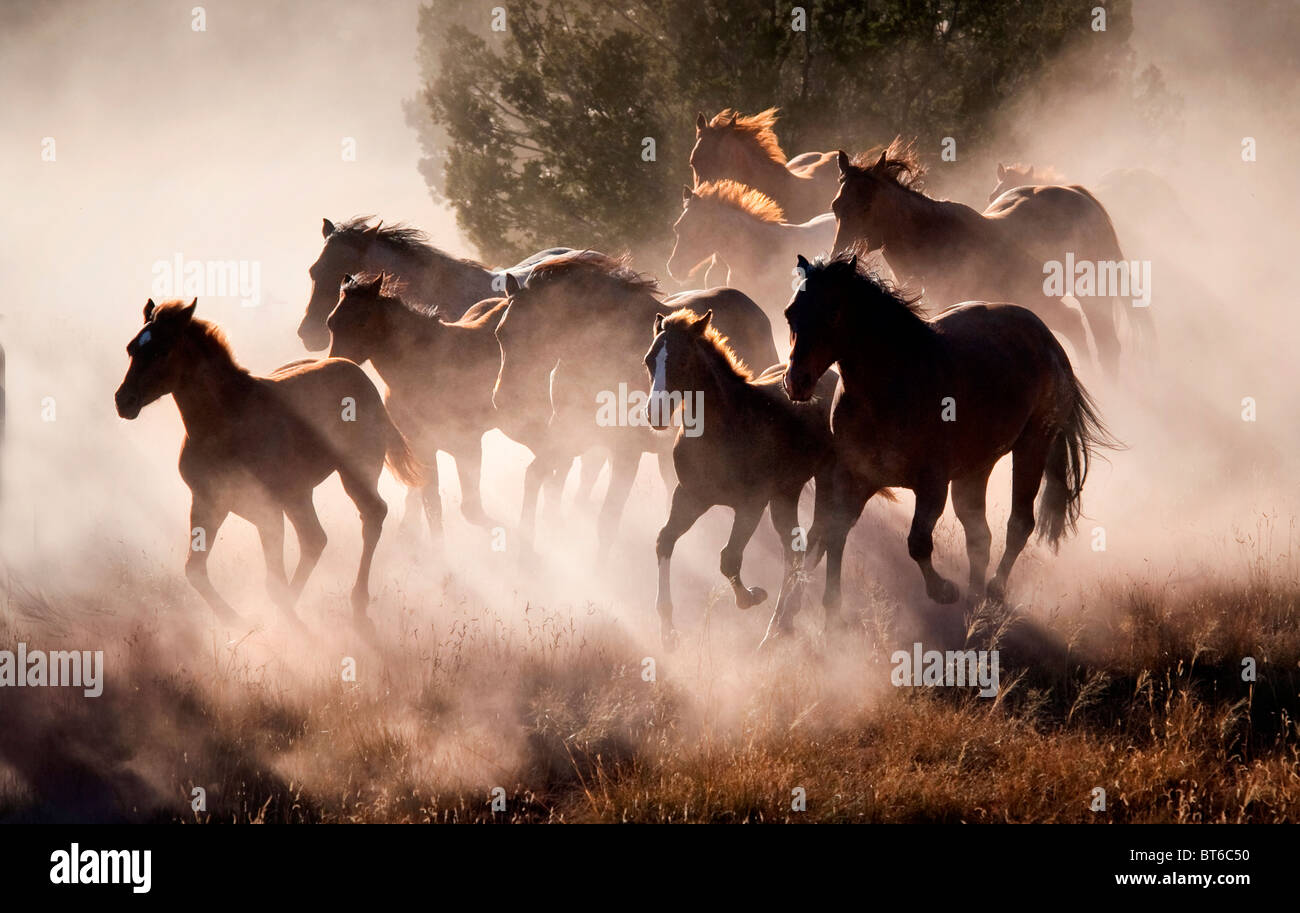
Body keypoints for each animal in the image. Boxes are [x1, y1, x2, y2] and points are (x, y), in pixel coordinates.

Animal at [114, 299, 422, 631]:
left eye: (162, 351)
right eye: (132, 348)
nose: (124, 401)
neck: (224, 421)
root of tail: (358, 374)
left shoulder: (267, 511)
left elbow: (274, 584)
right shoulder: (209, 502)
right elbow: (194, 570)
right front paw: (239, 624)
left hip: (355, 472)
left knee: (372, 515)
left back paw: (358, 604)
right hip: (299, 494)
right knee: (315, 539)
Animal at [493, 251, 779, 557]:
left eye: (537, 333)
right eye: (501, 334)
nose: (505, 400)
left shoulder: (625, 452)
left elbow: (607, 519)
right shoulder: (571, 436)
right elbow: (535, 477)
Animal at [645, 308, 836, 648]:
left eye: (683, 360)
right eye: (649, 360)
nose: (655, 413)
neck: (727, 426)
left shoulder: (751, 504)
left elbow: (729, 558)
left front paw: (751, 596)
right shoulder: (690, 496)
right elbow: (664, 540)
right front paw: (667, 630)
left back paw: (781, 622)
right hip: (786, 493)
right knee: (794, 551)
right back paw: (778, 628)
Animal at [783, 253, 1116, 625]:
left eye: (833, 313)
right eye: (790, 313)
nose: (796, 382)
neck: (893, 386)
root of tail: (1048, 339)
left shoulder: (932, 484)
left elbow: (917, 542)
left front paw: (943, 591)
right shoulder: (853, 478)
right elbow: (832, 533)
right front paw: (825, 610)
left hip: (1032, 447)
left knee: (1019, 524)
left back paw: (994, 591)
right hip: (975, 471)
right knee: (979, 536)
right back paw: (974, 600)